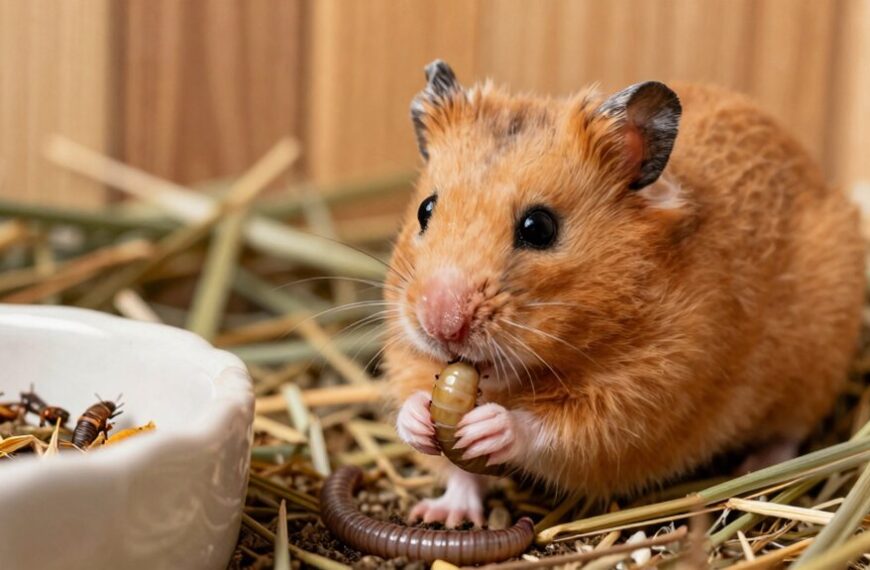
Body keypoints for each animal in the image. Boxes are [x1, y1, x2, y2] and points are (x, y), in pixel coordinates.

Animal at [383, 60, 864, 527]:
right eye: (426, 209)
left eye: (539, 228)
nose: (441, 324)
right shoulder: (407, 354)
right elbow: (443, 449)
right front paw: (420, 424)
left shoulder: (646, 395)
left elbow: (556, 430)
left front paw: (488, 427)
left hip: (812, 367)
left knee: (791, 433)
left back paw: (756, 465)